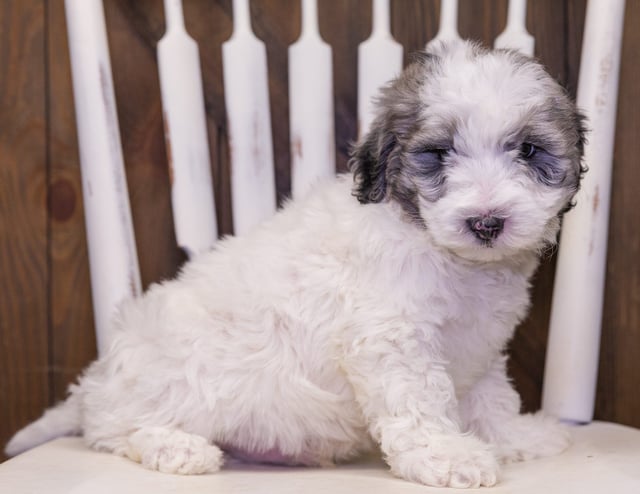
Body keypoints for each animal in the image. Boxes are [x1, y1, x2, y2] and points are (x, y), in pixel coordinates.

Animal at [6, 40, 584, 488]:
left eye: (529, 151)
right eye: (438, 154)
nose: (486, 222)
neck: (435, 244)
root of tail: (96, 387)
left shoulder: (478, 347)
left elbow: (490, 399)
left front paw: (516, 437)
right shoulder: (391, 338)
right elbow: (420, 402)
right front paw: (448, 456)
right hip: (173, 382)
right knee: (117, 431)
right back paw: (176, 448)